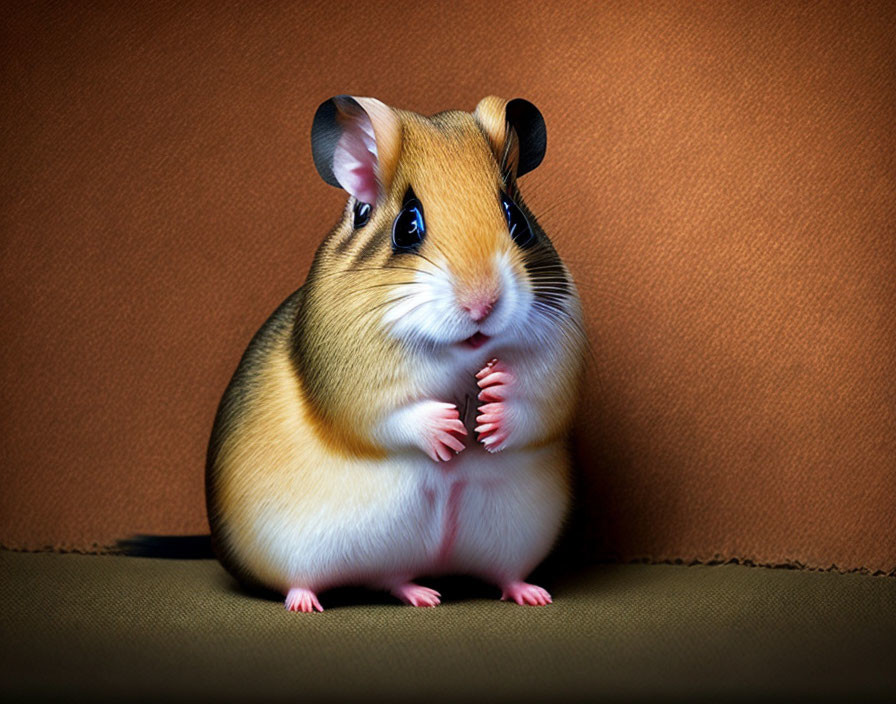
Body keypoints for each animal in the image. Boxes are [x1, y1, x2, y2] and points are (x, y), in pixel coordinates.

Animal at [206, 95, 584, 612]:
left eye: (517, 220)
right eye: (407, 226)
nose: (482, 304)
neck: (458, 355)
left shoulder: (560, 362)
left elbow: (535, 401)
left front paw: (491, 402)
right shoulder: (355, 389)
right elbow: (395, 414)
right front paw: (449, 433)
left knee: (428, 577)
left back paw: (511, 594)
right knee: (324, 580)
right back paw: (309, 604)